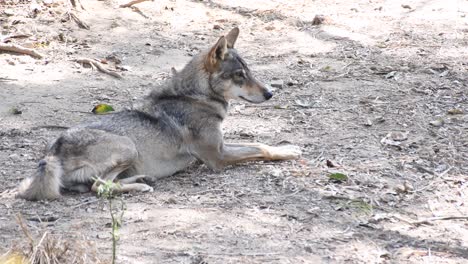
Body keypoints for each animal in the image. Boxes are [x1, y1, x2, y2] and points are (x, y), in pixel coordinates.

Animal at [16, 27, 302, 200]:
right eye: (239, 75)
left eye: (249, 72)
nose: (270, 94)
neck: (195, 96)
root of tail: (54, 150)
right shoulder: (217, 157)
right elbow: (261, 147)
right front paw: (290, 151)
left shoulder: (219, 148)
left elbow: (260, 142)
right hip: (128, 146)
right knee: (100, 187)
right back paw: (142, 185)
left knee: (101, 184)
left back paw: (142, 177)